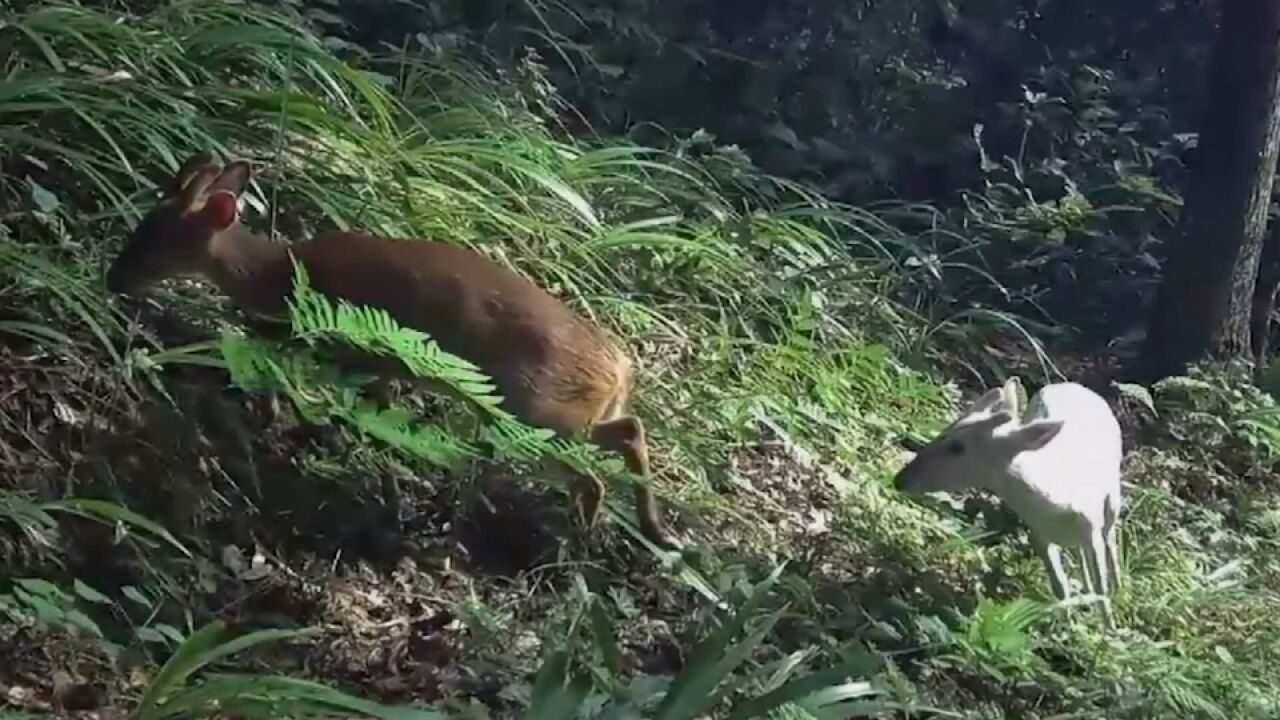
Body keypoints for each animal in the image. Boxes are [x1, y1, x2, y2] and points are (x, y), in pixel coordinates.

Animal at [106, 148, 686, 545]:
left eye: (153, 240)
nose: (112, 278)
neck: (278, 275)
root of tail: (620, 368)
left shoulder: (346, 343)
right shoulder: (378, 359)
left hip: (536, 406)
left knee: (594, 473)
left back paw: (578, 536)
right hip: (558, 410)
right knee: (629, 431)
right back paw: (651, 527)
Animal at [896, 376, 1126, 609]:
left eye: (957, 447)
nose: (900, 480)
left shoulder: (1091, 527)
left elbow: (1101, 588)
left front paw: (1109, 616)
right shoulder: (1038, 535)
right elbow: (1061, 589)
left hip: (1112, 499)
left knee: (1111, 538)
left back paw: (1119, 587)